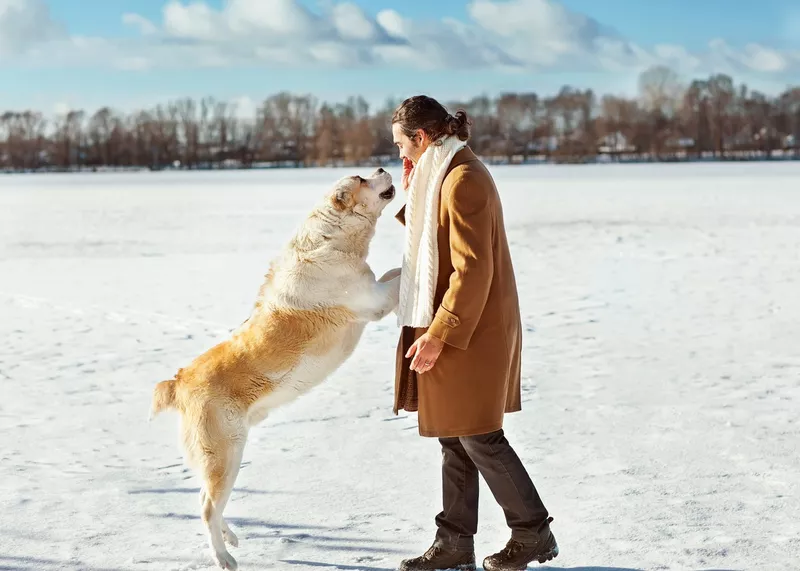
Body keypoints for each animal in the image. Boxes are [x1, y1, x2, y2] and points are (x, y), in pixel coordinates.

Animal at [150, 168, 400, 568]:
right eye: (361, 178)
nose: (379, 168)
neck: (332, 239)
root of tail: (181, 380)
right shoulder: (373, 300)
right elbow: (398, 276)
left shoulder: (373, 287)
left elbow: (391, 271)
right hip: (226, 454)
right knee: (207, 507)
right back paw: (223, 557)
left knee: (207, 501)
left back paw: (230, 537)